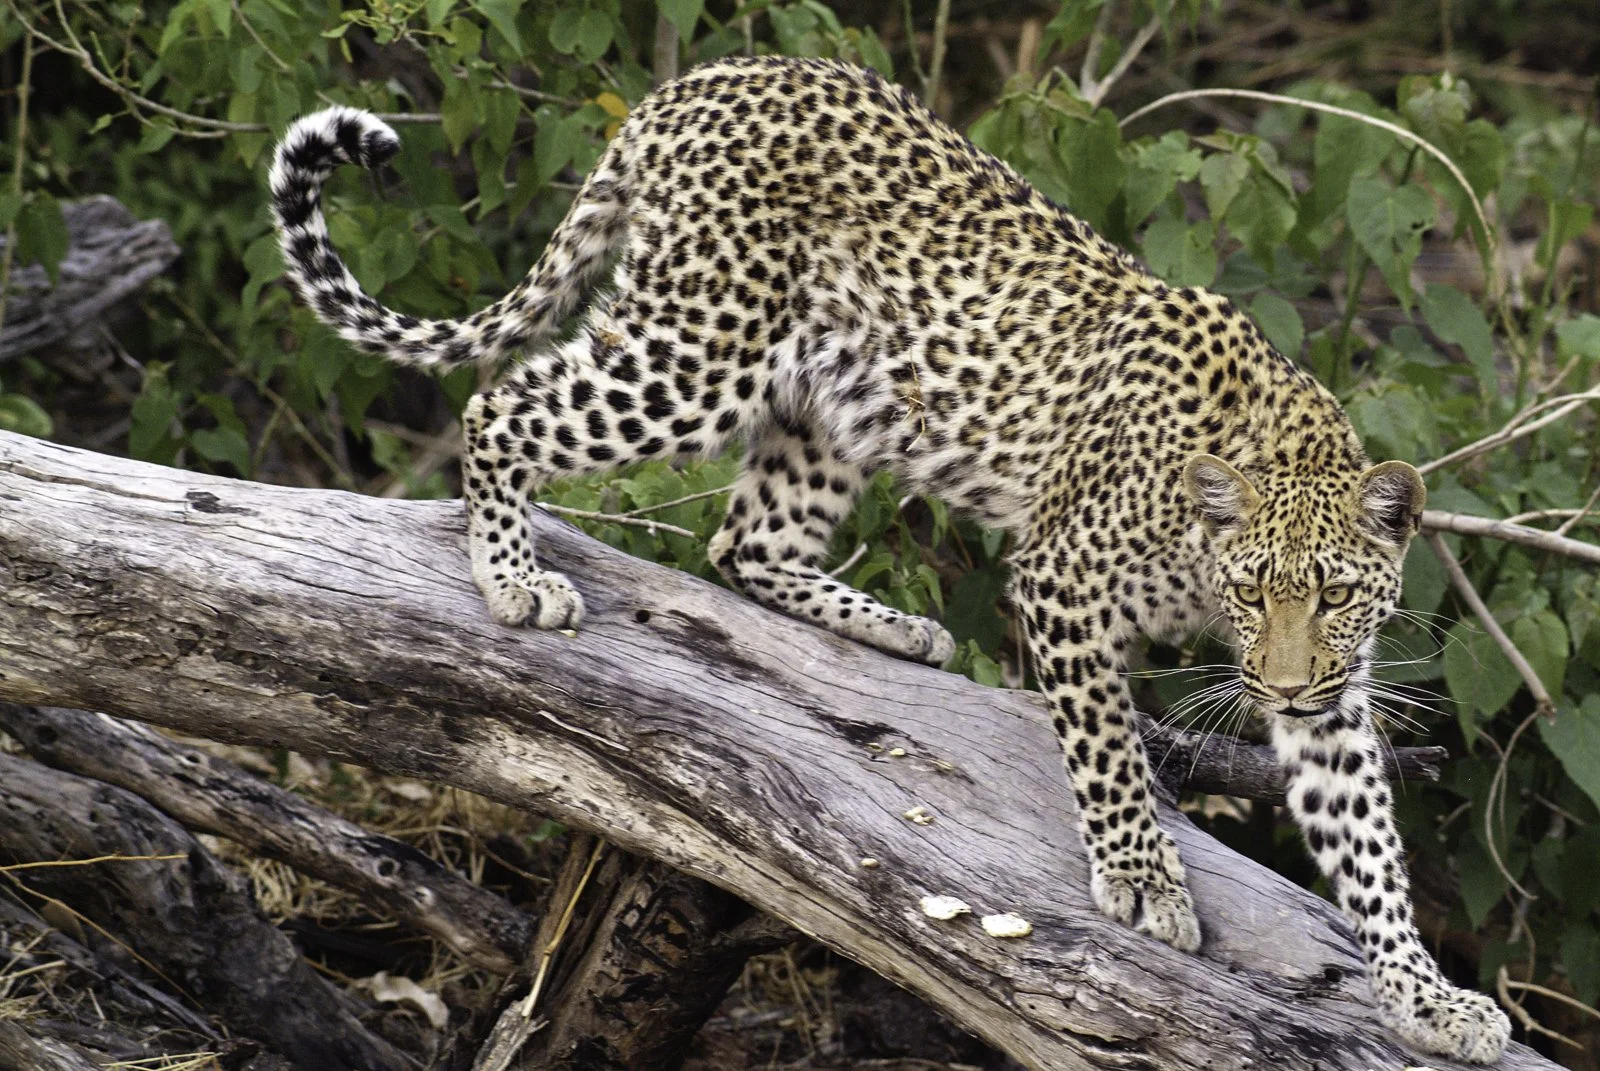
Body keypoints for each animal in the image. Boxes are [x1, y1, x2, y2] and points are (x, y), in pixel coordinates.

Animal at [268, 55, 1511, 1063]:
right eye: (1252, 592)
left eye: (1335, 595)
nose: (1281, 686)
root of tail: (698, 80)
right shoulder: (1064, 582)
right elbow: (1109, 754)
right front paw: (1142, 881)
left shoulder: (1331, 699)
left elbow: (1367, 843)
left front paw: (1427, 999)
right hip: (700, 346)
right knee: (506, 403)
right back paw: (514, 575)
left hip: (834, 396)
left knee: (745, 538)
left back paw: (891, 626)